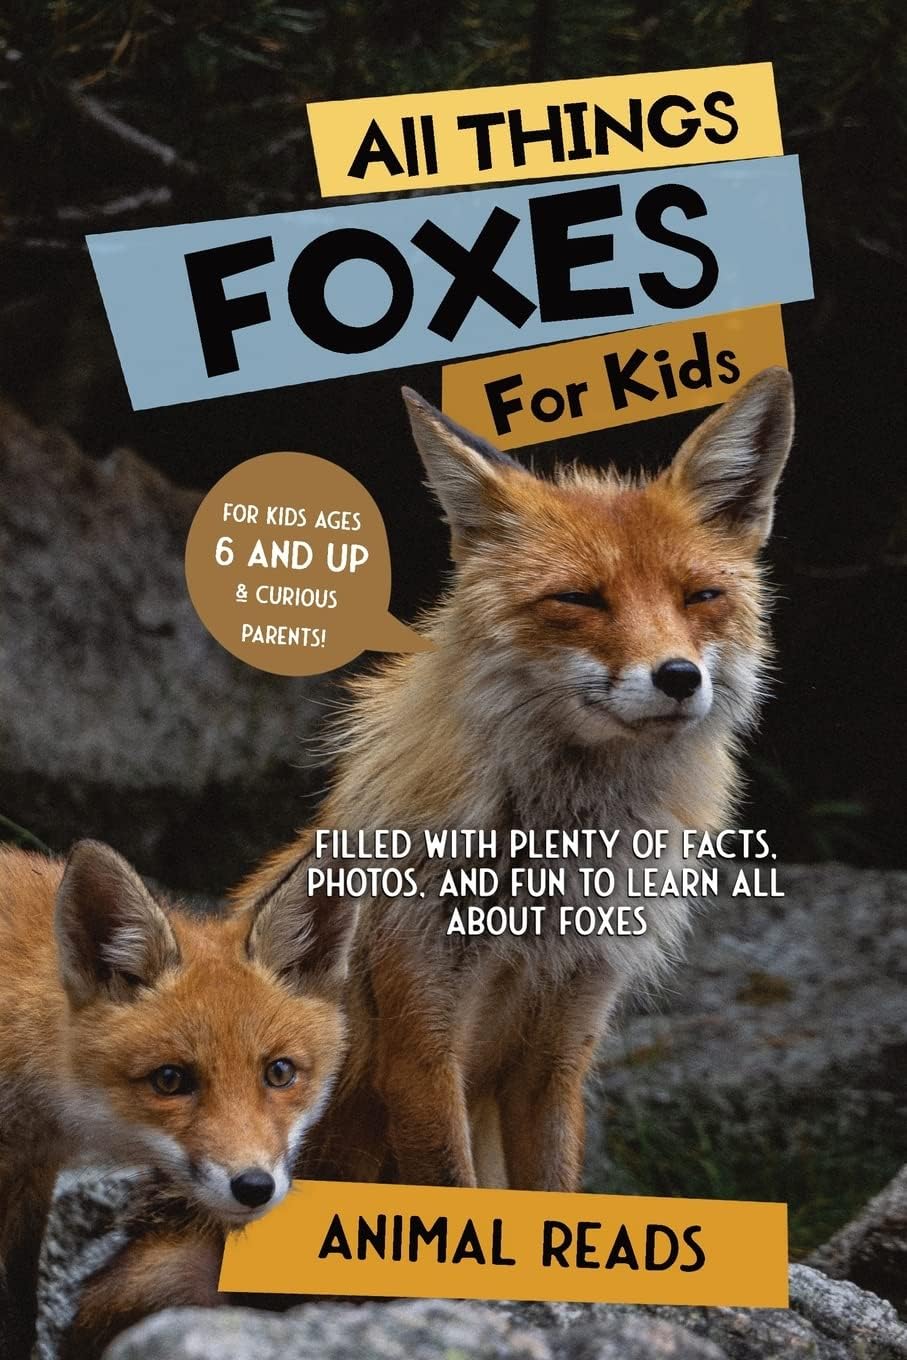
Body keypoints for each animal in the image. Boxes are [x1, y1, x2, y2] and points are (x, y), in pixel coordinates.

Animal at [235, 366, 795, 1195]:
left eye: (700, 597)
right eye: (579, 599)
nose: (677, 677)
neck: (545, 890)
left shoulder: (560, 1047)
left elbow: (553, 1186)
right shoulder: (421, 1047)